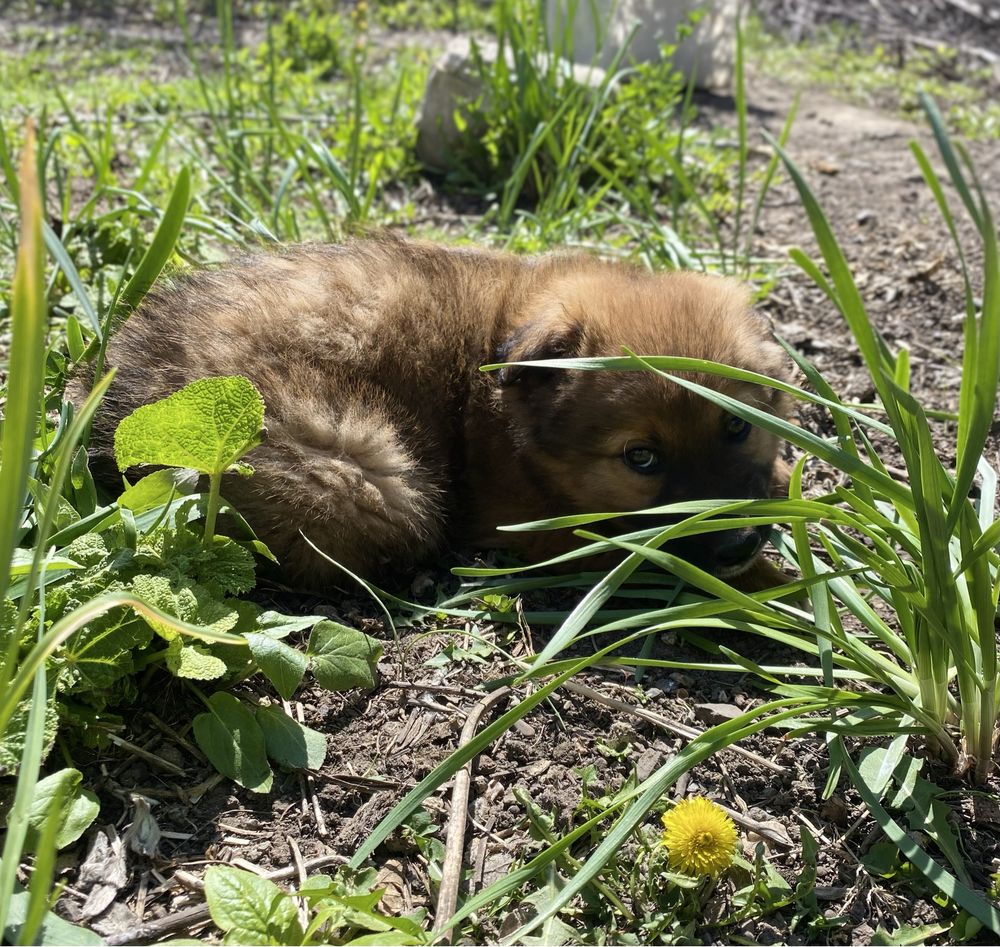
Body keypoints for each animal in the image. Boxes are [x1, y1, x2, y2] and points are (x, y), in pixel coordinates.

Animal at [78, 235, 792, 584]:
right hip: (364, 469)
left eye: (737, 426)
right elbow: (640, 550)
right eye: (641, 458)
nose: (735, 543)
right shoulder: (532, 527)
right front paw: (770, 582)